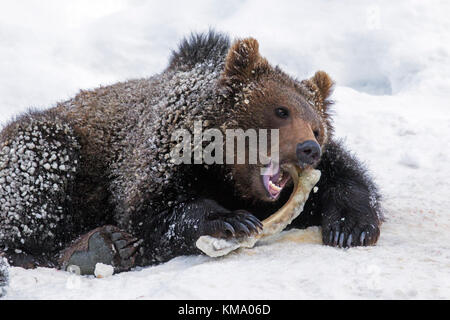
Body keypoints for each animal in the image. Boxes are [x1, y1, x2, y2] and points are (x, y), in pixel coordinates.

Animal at [0, 31, 384, 278]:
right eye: (281, 110)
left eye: (317, 126)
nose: (308, 149)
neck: (226, 172)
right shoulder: (160, 154)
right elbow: (153, 213)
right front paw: (231, 219)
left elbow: (347, 178)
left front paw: (351, 227)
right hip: (46, 148)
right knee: (41, 160)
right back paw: (92, 247)